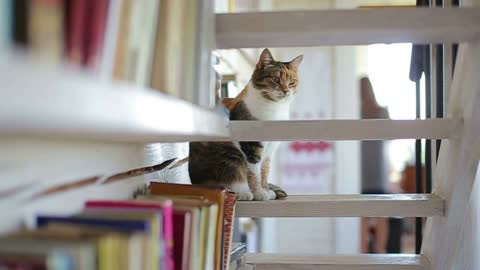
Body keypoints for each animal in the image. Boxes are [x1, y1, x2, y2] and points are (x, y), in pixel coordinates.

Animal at [187, 49, 302, 200]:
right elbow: (253, 172)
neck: (274, 108)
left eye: (292, 82)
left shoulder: (269, 150)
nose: (286, 91)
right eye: (276, 79)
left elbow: (264, 171)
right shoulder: (251, 145)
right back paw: (242, 193)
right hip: (231, 155)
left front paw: (265, 189)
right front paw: (259, 193)